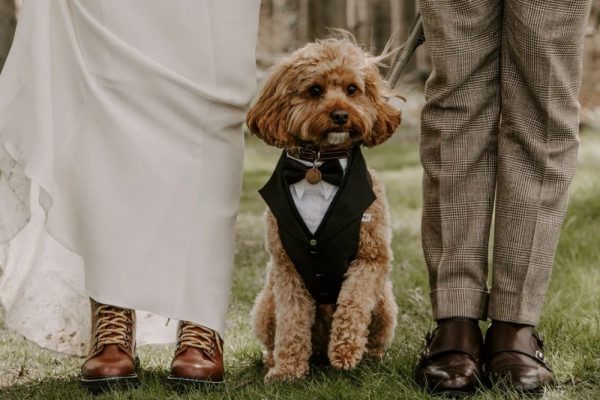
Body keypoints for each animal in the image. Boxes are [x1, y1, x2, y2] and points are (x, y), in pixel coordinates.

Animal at [244, 36, 404, 382]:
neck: (320, 165)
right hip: (266, 303)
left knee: (376, 335)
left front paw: (345, 351)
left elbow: (353, 303)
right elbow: (292, 322)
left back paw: (369, 357)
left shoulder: (371, 258)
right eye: (315, 90)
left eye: (352, 89)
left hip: (385, 304)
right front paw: (287, 370)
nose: (341, 115)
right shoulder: (286, 268)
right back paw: (273, 359)